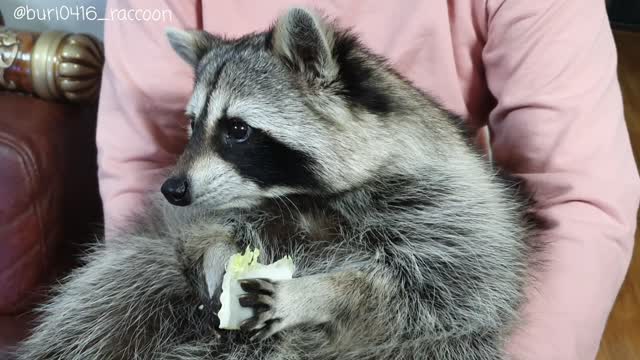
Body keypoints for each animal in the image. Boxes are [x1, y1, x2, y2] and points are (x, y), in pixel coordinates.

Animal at [16, 6, 540, 360]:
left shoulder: (450, 212)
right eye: (192, 124)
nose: (173, 189)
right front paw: (217, 255)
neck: (298, 195)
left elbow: (426, 292)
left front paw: (323, 292)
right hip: (133, 280)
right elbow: (199, 231)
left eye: (237, 129)